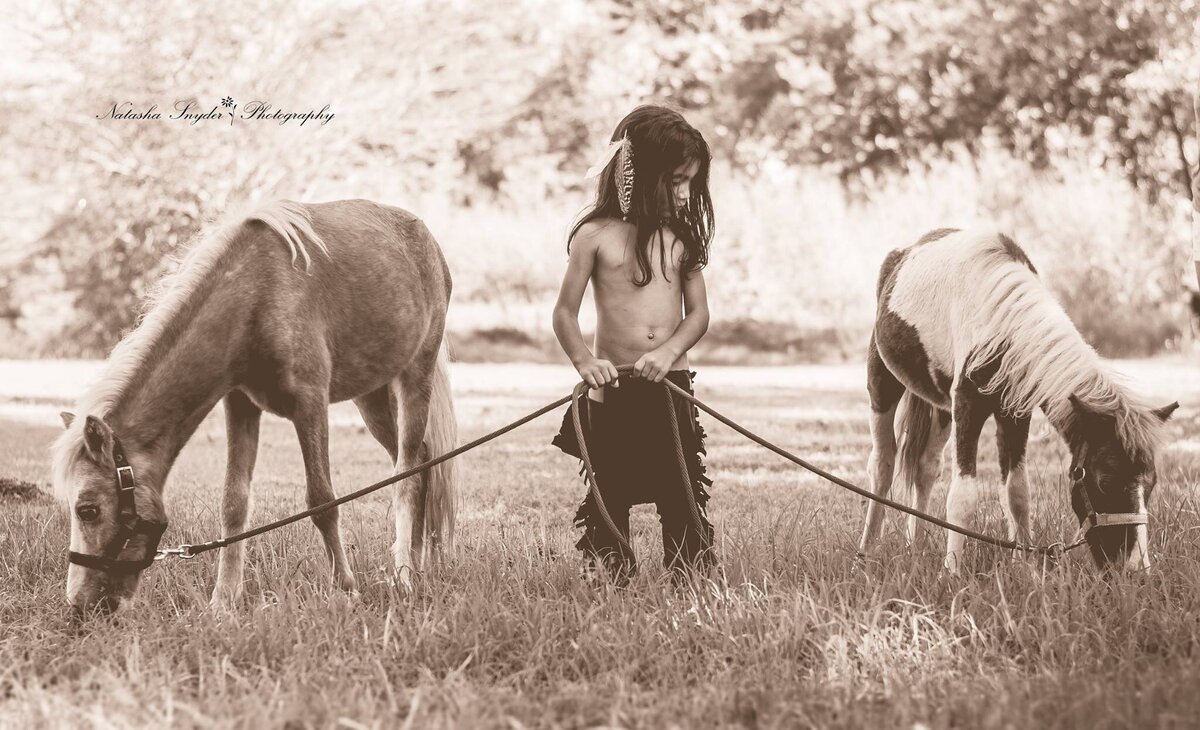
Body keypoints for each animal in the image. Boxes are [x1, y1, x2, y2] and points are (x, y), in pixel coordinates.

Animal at [50, 196, 458, 612]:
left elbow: (322, 501)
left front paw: (345, 588)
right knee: (423, 463)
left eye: (87, 510)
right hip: (372, 399)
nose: (80, 603)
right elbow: (234, 502)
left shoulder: (310, 403)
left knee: (407, 475)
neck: (255, 298)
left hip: (415, 377)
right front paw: (223, 599)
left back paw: (405, 575)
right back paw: (421, 564)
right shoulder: (241, 405)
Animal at [859, 230, 1176, 573]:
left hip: (941, 407)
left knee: (925, 468)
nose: (1135, 568)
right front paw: (952, 572)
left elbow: (1018, 492)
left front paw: (1025, 566)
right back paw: (865, 552)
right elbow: (963, 496)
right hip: (883, 385)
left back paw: (914, 547)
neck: (999, 324)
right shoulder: (966, 405)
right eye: (1105, 481)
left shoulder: (1015, 413)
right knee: (883, 466)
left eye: (1152, 483)